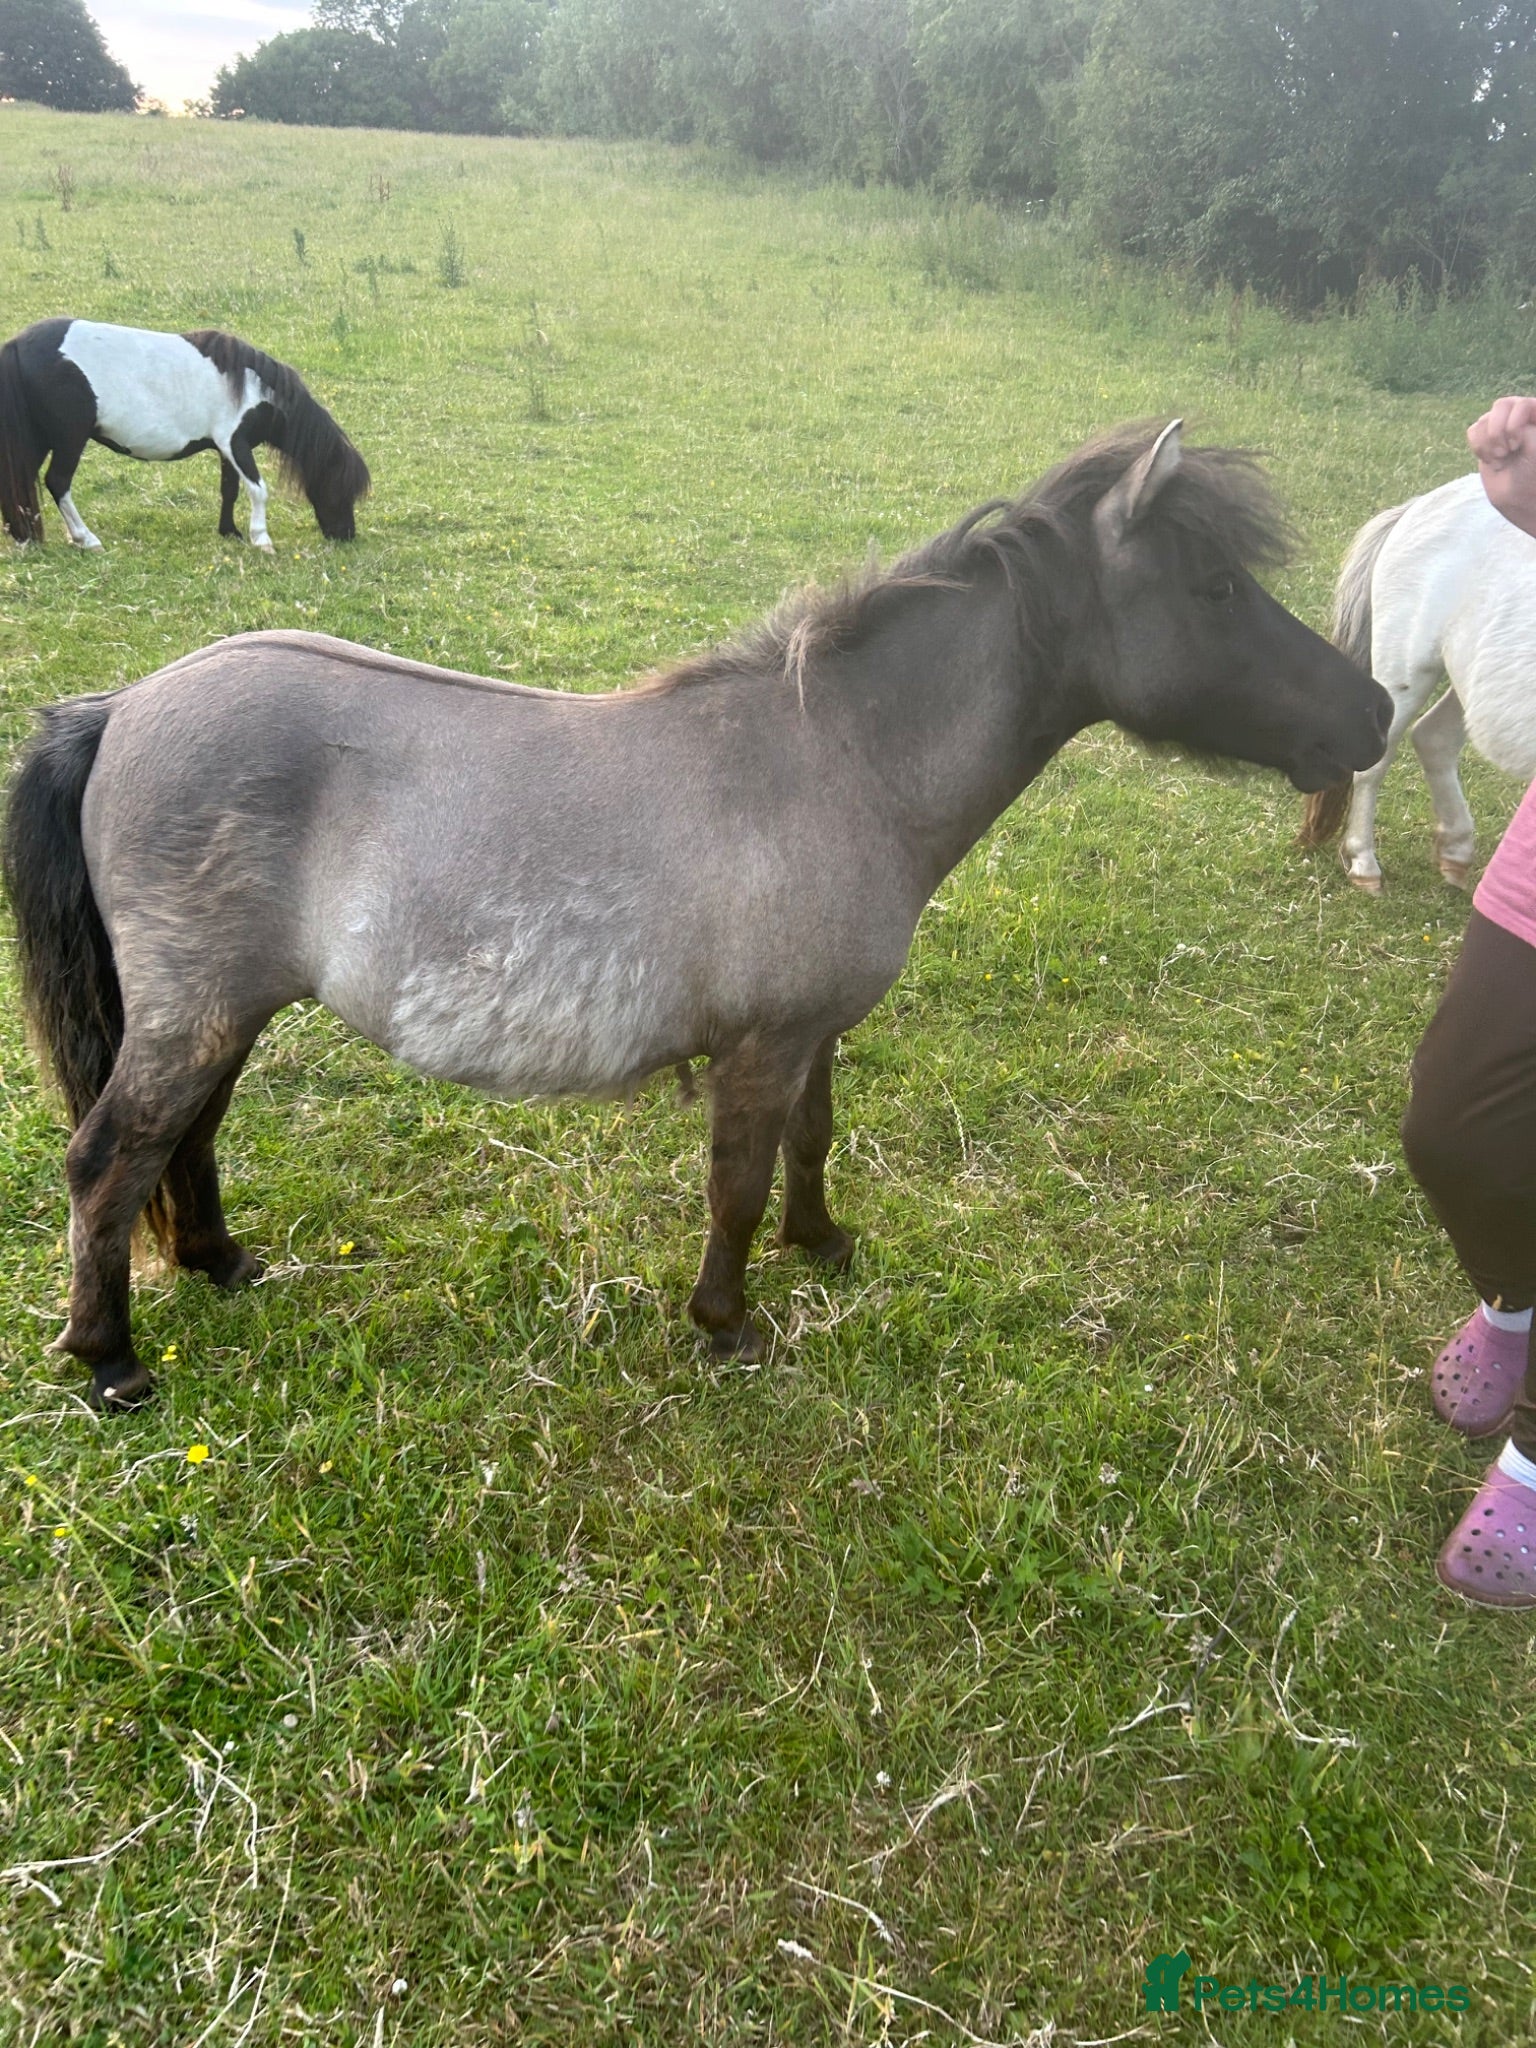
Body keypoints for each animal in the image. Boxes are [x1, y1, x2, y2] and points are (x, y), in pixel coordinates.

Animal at [0, 318, 370, 551]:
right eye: (340, 487)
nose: (346, 535)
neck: (253, 385)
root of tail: (18, 344)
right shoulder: (235, 444)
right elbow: (258, 490)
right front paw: (261, 539)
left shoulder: (226, 449)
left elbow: (229, 490)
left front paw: (230, 532)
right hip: (69, 439)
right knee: (57, 482)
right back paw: (86, 539)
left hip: (39, 439)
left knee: (22, 483)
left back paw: (27, 536)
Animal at [2, 421, 1390, 1411]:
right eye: (1214, 588)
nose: (1371, 711)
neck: (840, 759)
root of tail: (125, 705)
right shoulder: (763, 1044)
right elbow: (735, 1182)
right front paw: (726, 1324)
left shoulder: (813, 1030)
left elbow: (810, 1145)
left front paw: (823, 1243)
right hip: (193, 1011)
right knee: (107, 1156)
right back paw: (109, 1355)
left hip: (222, 1013)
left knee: (181, 1143)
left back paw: (220, 1263)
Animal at [1298, 471, 1536, 892]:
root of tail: (1419, 504)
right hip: (1407, 668)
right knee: (1377, 758)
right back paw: (1364, 863)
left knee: (1433, 738)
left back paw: (1455, 850)